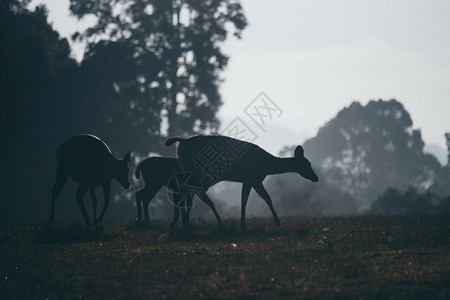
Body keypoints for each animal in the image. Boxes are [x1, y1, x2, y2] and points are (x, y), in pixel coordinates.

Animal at [163, 135, 318, 231]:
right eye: (307, 164)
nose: (316, 178)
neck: (267, 165)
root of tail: (181, 142)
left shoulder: (249, 180)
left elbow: (245, 200)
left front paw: (243, 224)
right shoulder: (253, 178)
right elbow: (266, 199)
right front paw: (277, 222)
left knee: (185, 191)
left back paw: (182, 223)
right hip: (200, 172)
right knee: (189, 192)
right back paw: (187, 222)